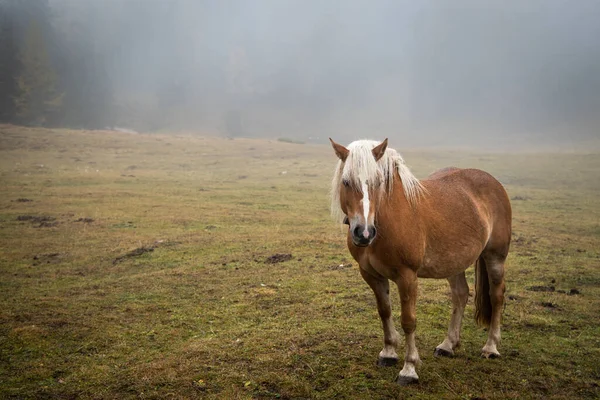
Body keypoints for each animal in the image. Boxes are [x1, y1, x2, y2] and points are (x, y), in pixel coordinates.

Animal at [328, 138, 510, 384]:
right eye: (346, 182)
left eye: (377, 182)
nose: (364, 233)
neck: (387, 221)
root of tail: (494, 183)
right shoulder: (371, 275)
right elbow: (384, 311)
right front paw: (388, 353)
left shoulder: (407, 277)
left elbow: (408, 320)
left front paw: (409, 369)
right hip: (454, 261)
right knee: (460, 295)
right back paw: (448, 345)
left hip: (495, 257)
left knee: (497, 296)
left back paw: (491, 347)